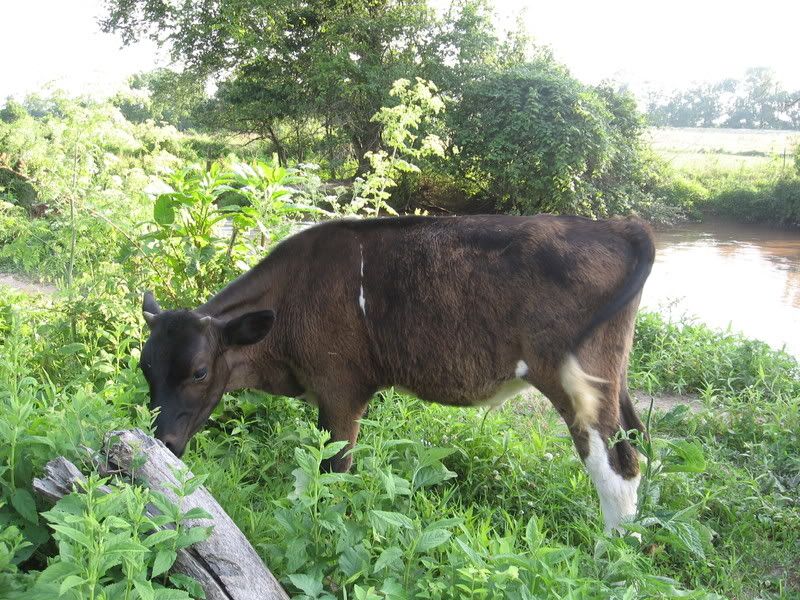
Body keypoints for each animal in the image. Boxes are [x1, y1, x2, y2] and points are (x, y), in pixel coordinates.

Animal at [139, 214, 654, 533]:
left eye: (199, 372)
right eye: (145, 367)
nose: (161, 441)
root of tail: (621, 226)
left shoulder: (341, 389)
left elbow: (334, 470)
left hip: (573, 380)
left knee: (616, 465)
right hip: (612, 377)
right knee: (638, 443)